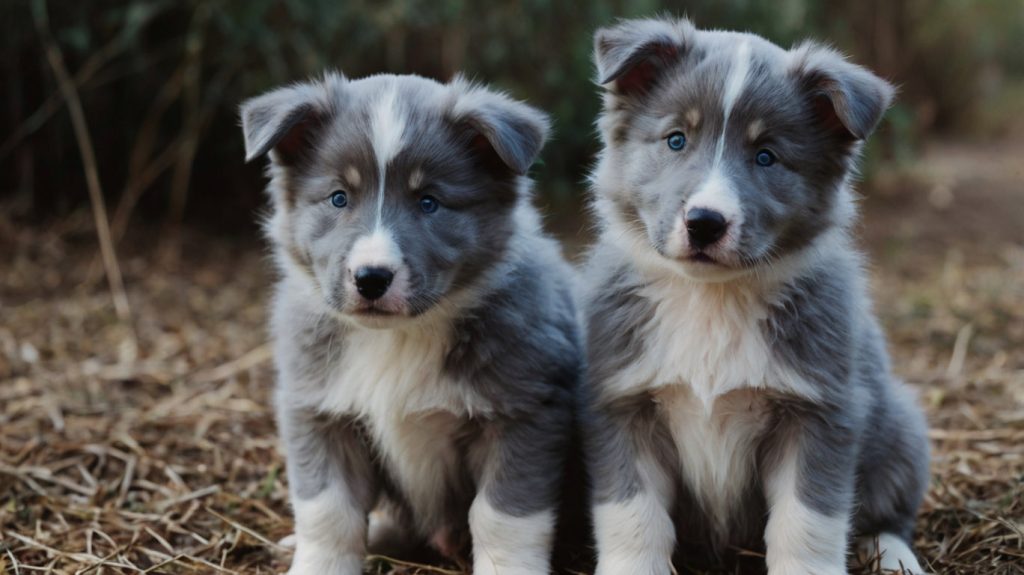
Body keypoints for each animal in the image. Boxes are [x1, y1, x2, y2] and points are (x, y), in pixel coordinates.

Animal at [238, 71, 585, 572]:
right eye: (338, 198)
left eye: (429, 202)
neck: (398, 338)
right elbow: (328, 511)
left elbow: (501, 518)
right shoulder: (319, 412)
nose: (371, 278)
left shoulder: (525, 413)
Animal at [581, 17, 933, 572]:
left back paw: (896, 556)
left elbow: (806, 524)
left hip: (899, 429)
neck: (712, 301)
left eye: (766, 156)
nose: (704, 223)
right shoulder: (622, 405)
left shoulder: (820, 414)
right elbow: (633, 516)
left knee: (888, 517)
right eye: (676, 140)